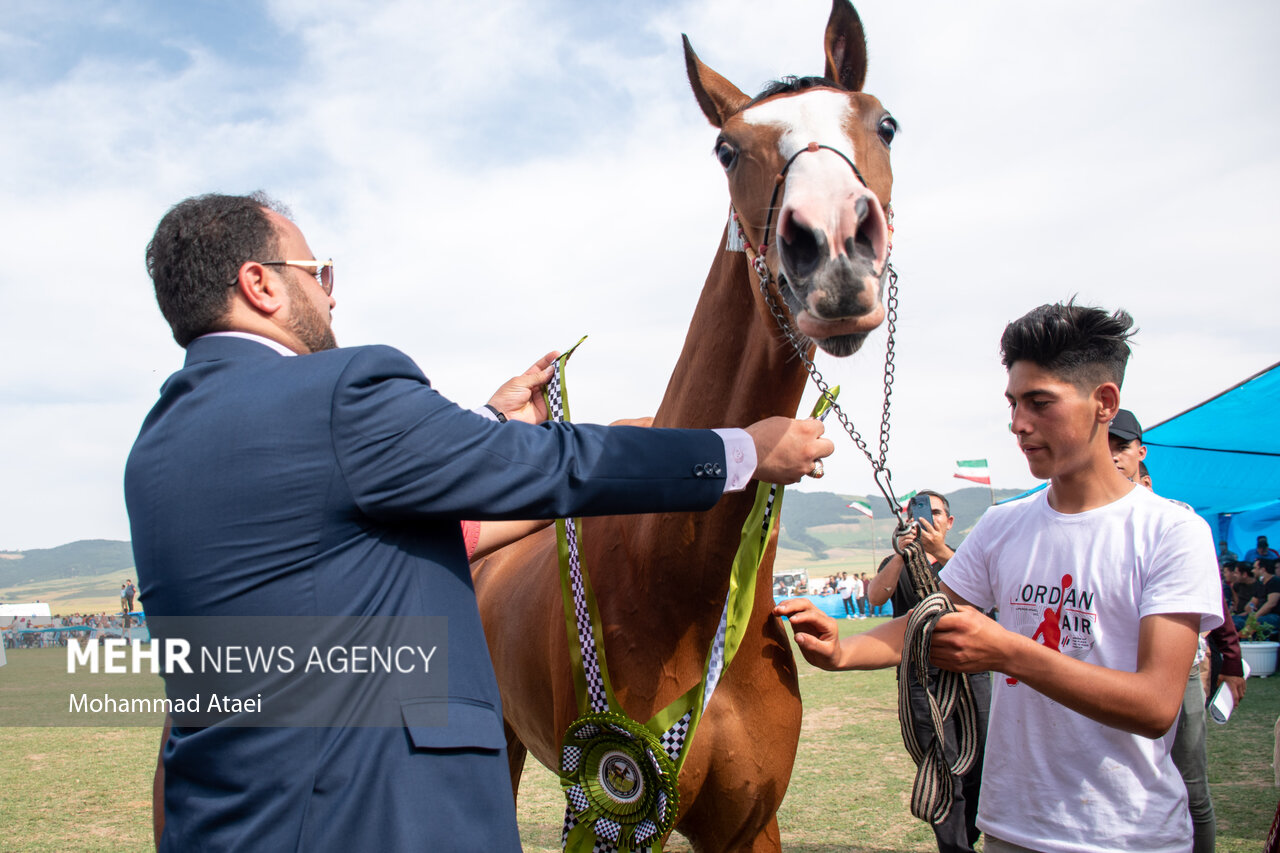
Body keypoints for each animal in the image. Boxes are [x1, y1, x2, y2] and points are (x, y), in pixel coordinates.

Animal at [473, 3, 901, 845]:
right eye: (728, 149)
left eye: (885, 123)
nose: (834, 248)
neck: (677, 580)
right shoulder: (609, 814)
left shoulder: (748, 824)